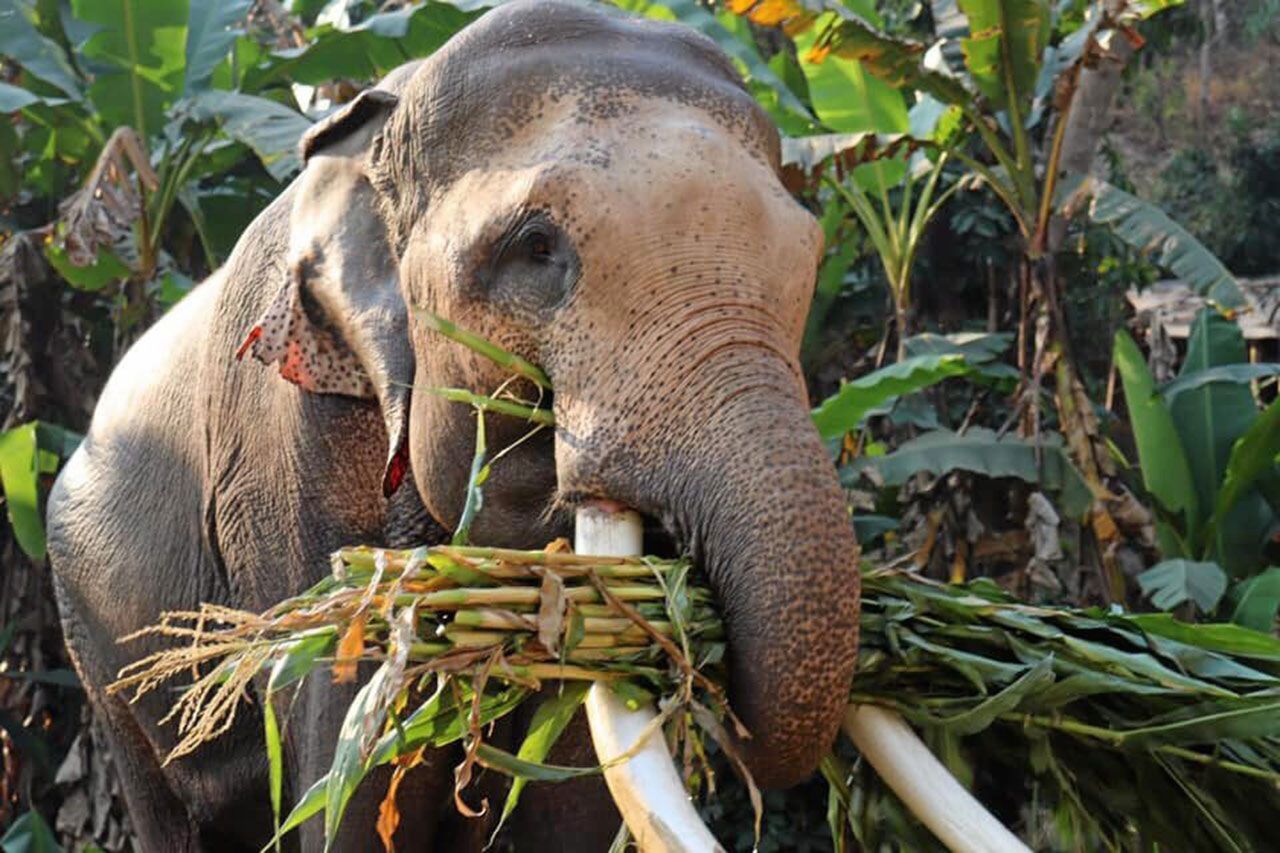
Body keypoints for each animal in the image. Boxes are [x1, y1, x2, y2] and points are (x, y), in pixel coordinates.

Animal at [49, 3, 865, 845]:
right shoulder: (279, 460)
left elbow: (568, 785)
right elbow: (350, 750)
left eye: (810, 254)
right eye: (535, 246)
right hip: (93, 642)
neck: (388, 116)